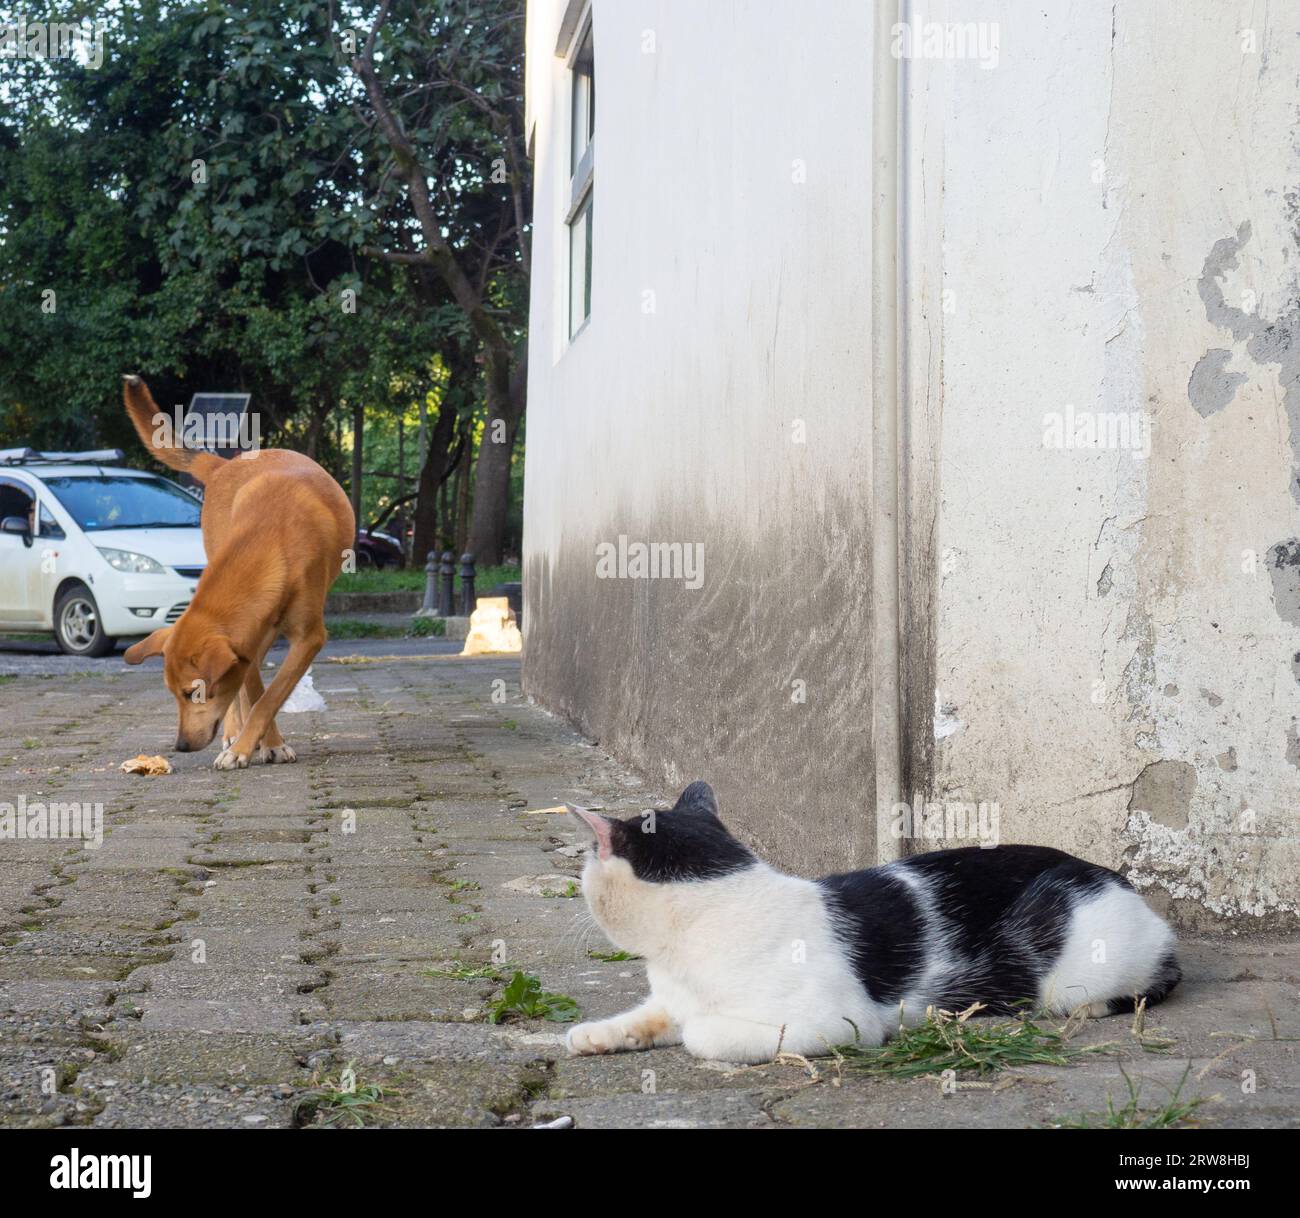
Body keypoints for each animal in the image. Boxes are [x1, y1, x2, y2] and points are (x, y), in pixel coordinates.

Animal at [121, 374, 353, 764]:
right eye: (174, 693)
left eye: (193, 694)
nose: (181, 747)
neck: (271, 540)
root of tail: (222, 464)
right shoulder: (247, 643)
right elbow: (256, 693)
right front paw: (257, 742)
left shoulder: (308, 638)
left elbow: (270, 697)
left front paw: (258, 744)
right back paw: (233, 733)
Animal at [564, 785, 1185, 1060]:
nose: (579, 878)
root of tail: (1122, 882)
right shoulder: (671, 998)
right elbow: (649, 1017)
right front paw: (596, 1035)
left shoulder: (838, 1022)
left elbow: (701, 1035)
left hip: (1076, 967)